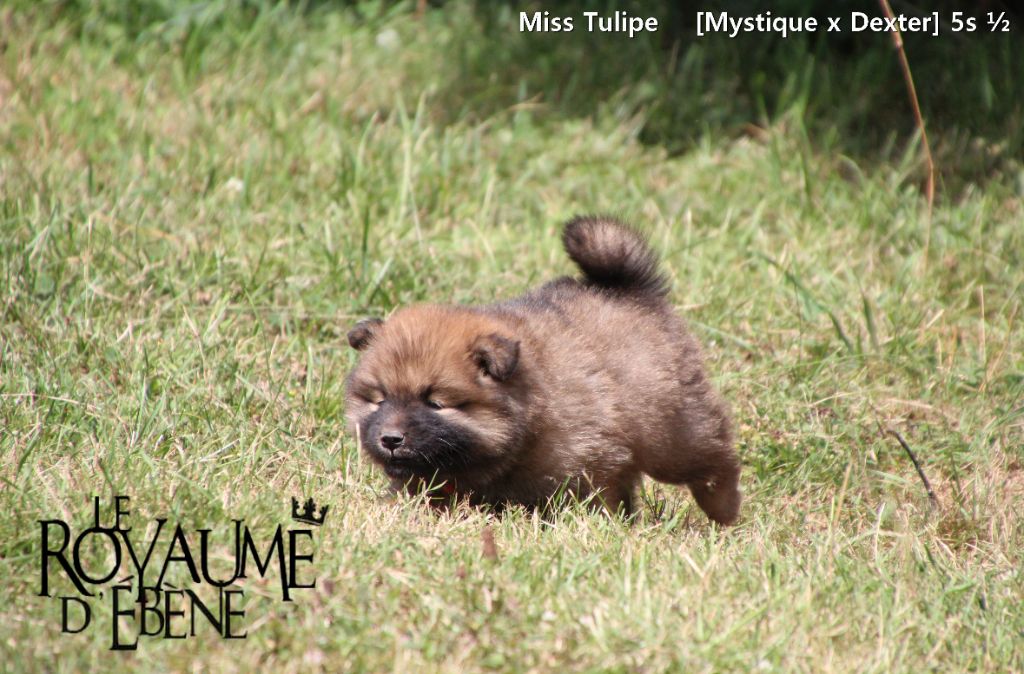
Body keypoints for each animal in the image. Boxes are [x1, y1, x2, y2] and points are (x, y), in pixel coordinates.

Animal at [344, 216, 741, 524]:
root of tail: (629, 288)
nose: (390, 439)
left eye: (435, 403)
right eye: (379, 400)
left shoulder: (591, 461)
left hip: (673, 432)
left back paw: (724, 512)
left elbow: (598, 498)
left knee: (714, 460)